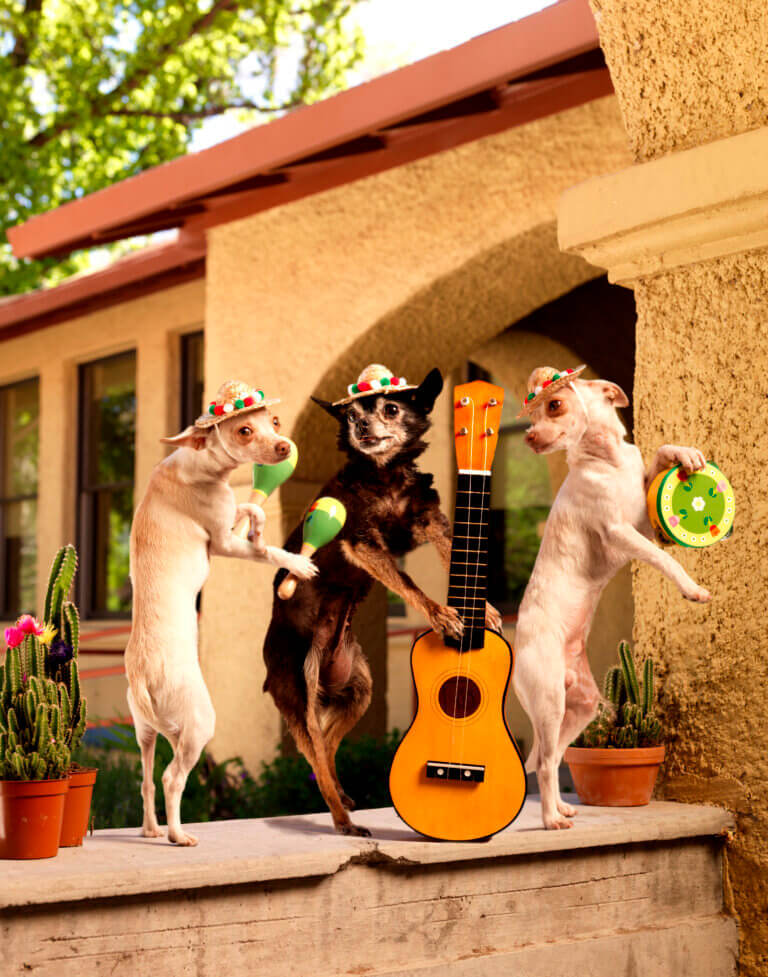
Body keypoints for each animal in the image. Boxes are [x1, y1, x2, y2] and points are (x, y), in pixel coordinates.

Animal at [125, 378, 316, 844]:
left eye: (275, 421)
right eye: (244, 431)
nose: (284, 446)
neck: (197, 462)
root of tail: (140, 675)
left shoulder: (228, 524)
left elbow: (252, 507)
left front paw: (261, 530)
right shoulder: (224, 544)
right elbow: (259, 535)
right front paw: (295, 561)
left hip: (145, 732)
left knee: (146, 779)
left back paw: (152, 829)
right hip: (198, 725)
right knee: (172, 779)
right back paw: (178, 835)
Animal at [512, 366, 712, 832]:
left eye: (554, 405)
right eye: (534, 411)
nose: (528, 438)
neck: (607, 460)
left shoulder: (645, 520)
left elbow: (660, 453)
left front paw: (685, 455)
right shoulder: (623, 533)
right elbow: (664, 558)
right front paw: (692, 589)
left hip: (581, 705)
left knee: (555, 755)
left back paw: (562, 808)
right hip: (549, 701)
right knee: (544, 764)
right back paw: (551, 820)